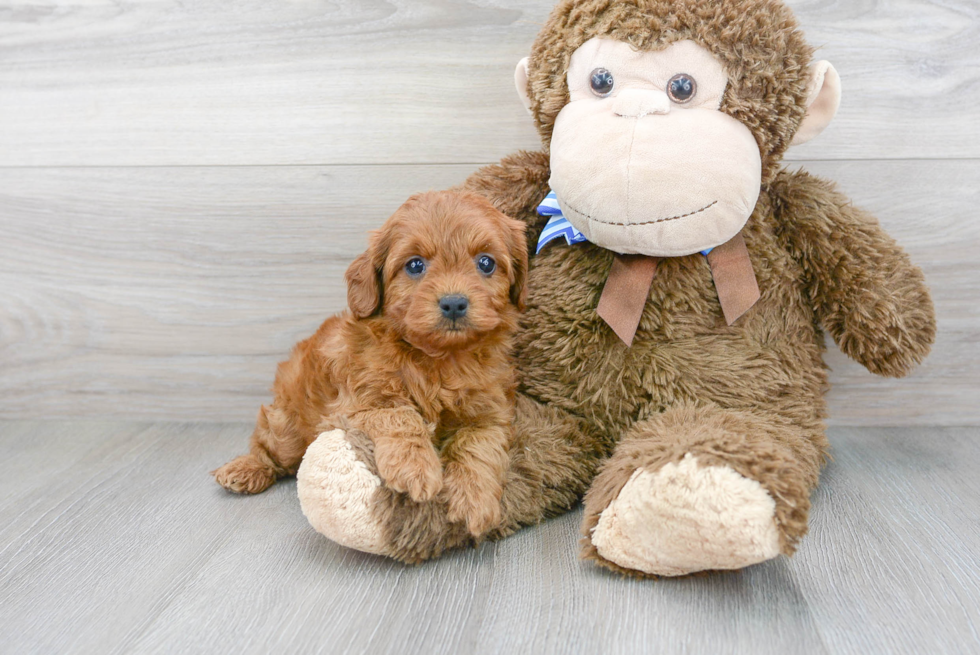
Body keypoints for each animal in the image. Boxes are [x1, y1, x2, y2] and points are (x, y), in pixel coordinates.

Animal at [214, 190, 528, 540]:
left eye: (486, 262)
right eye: (415, 265)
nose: (454, 303)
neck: (439, 359)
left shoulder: (490, 414)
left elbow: (477, 447)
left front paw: (474, 500)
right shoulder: (358, 404)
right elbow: (400, 416)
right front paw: (415, 469)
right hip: (287, 427)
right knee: (269, 447)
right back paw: (244, 469)